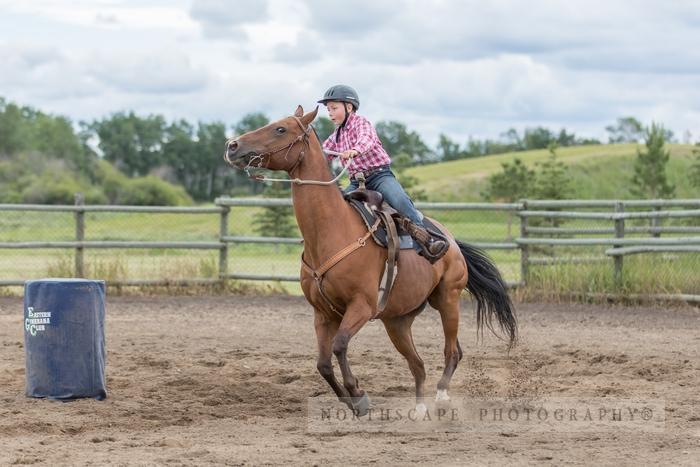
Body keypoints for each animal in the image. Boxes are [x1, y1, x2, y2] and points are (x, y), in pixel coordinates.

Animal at [224, 106, 516, 416]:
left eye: (280, 129)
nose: (232, 146)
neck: (331, 232)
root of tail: (451, 241)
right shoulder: (322, 314)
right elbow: (323, 364)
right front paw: (351, 401)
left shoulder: (362, 306)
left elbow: (340, 346)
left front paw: (358, 394)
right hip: (397, 321)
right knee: (418, 364)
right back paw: (420, 409)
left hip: (448, 299)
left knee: (452, 352)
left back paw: (440, 395)